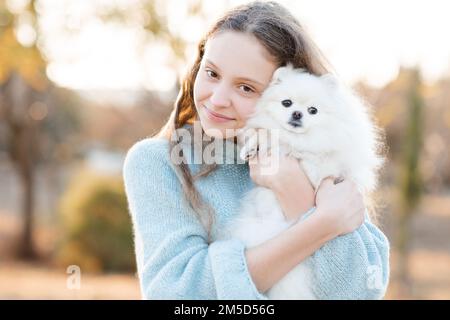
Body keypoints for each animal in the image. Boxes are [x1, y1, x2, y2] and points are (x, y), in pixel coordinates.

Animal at [215, 63, 384, 300]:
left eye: (313, 110)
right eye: (287, 103)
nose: (297, 113)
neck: (297, 140)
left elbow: (314, 161)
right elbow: (263, 132)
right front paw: (253, 146)